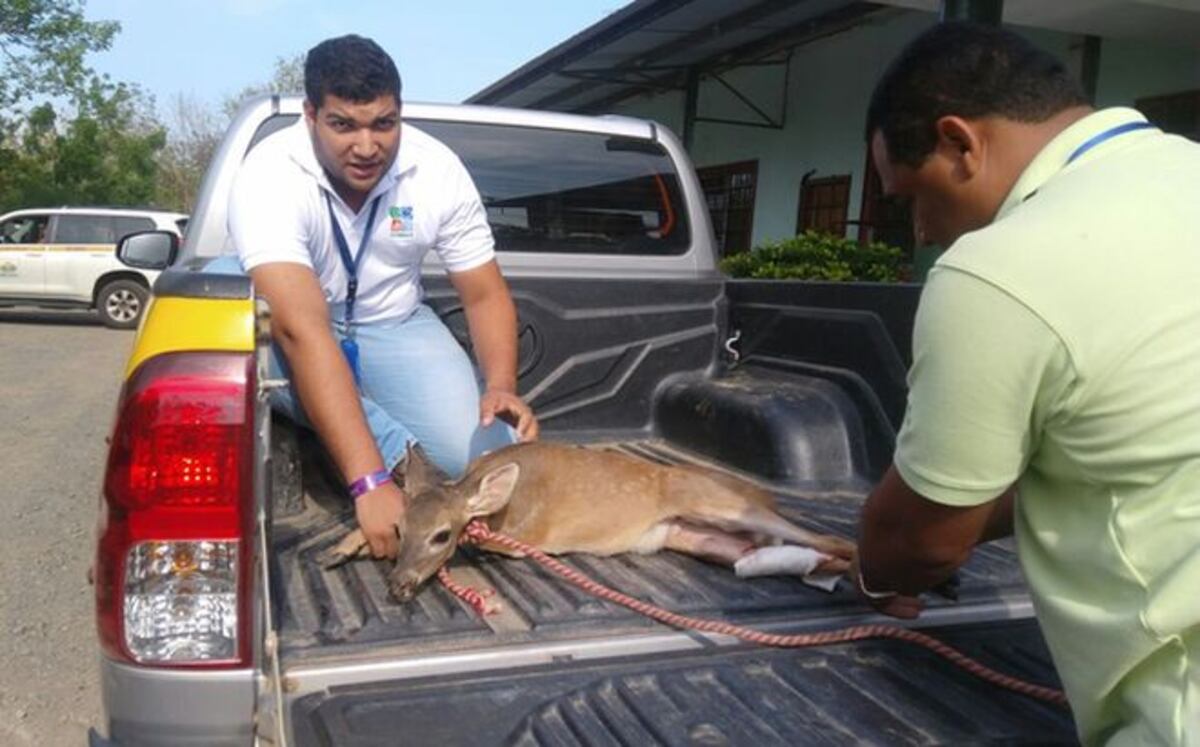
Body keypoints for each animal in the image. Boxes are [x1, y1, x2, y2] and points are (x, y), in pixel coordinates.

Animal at [324, 441, 859, 605]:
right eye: (399, 530)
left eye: (441, 535)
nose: (397, 587)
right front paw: (341, 548)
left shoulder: (527, 538)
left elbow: (489, 544)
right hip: (701, 538)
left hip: (714, 501)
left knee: (835, 536)